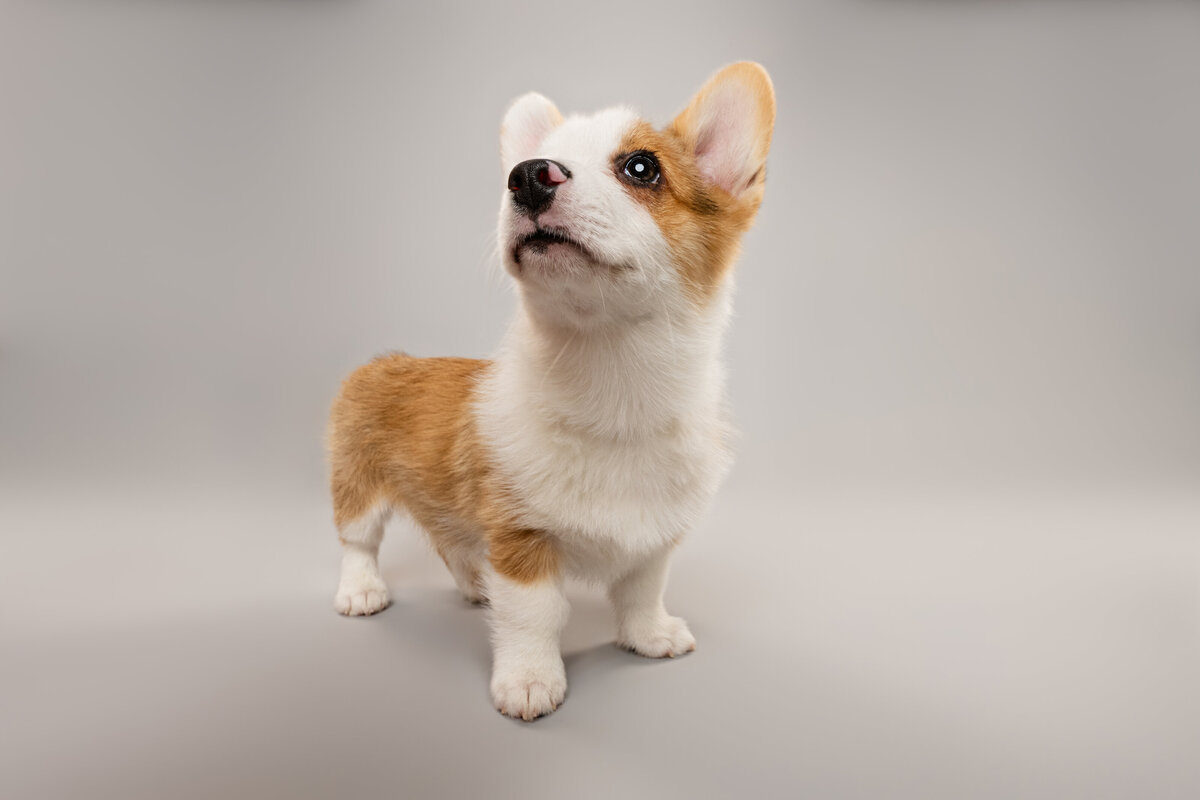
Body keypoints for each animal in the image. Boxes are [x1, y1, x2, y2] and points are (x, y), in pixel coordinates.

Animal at [328, 62, 777, 724]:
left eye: (641, 167)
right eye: (530, 164)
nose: (527, 175)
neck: (615, 387)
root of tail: (388, 360)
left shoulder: (657, 535)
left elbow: (642, 590)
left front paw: (650, 636)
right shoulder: (521, 536)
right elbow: (534, 615)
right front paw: (529, 681)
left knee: (452, 542)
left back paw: (474, 586)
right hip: (356, 486)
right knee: (359, 542)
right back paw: (362, 591)